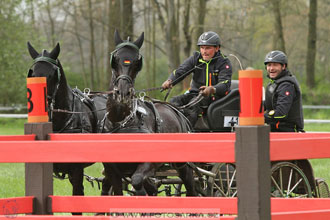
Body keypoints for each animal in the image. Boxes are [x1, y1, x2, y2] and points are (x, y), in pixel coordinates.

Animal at [101, 30, 196, 196]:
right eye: (115, 59)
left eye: (137, 62)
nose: (123, 92)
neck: (121, 121)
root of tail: (177, 111)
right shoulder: (112, 171)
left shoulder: (148, 163)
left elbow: (137, 180)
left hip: (182, 165)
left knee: (190, 186)